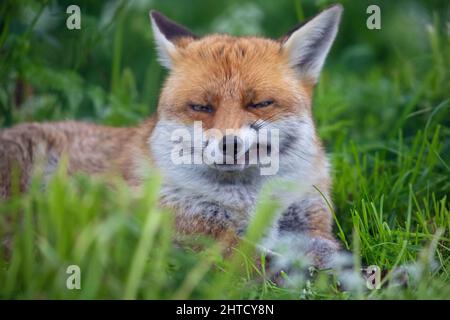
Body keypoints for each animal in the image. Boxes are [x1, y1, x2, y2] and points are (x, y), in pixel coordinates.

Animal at [0, 5, 344, 268]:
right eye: (201, 107)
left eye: (259, 104)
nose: (229, 144)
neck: (251, 199)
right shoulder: (194, 236)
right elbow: (269, 264)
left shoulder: (309, 222)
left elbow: (336, 255)